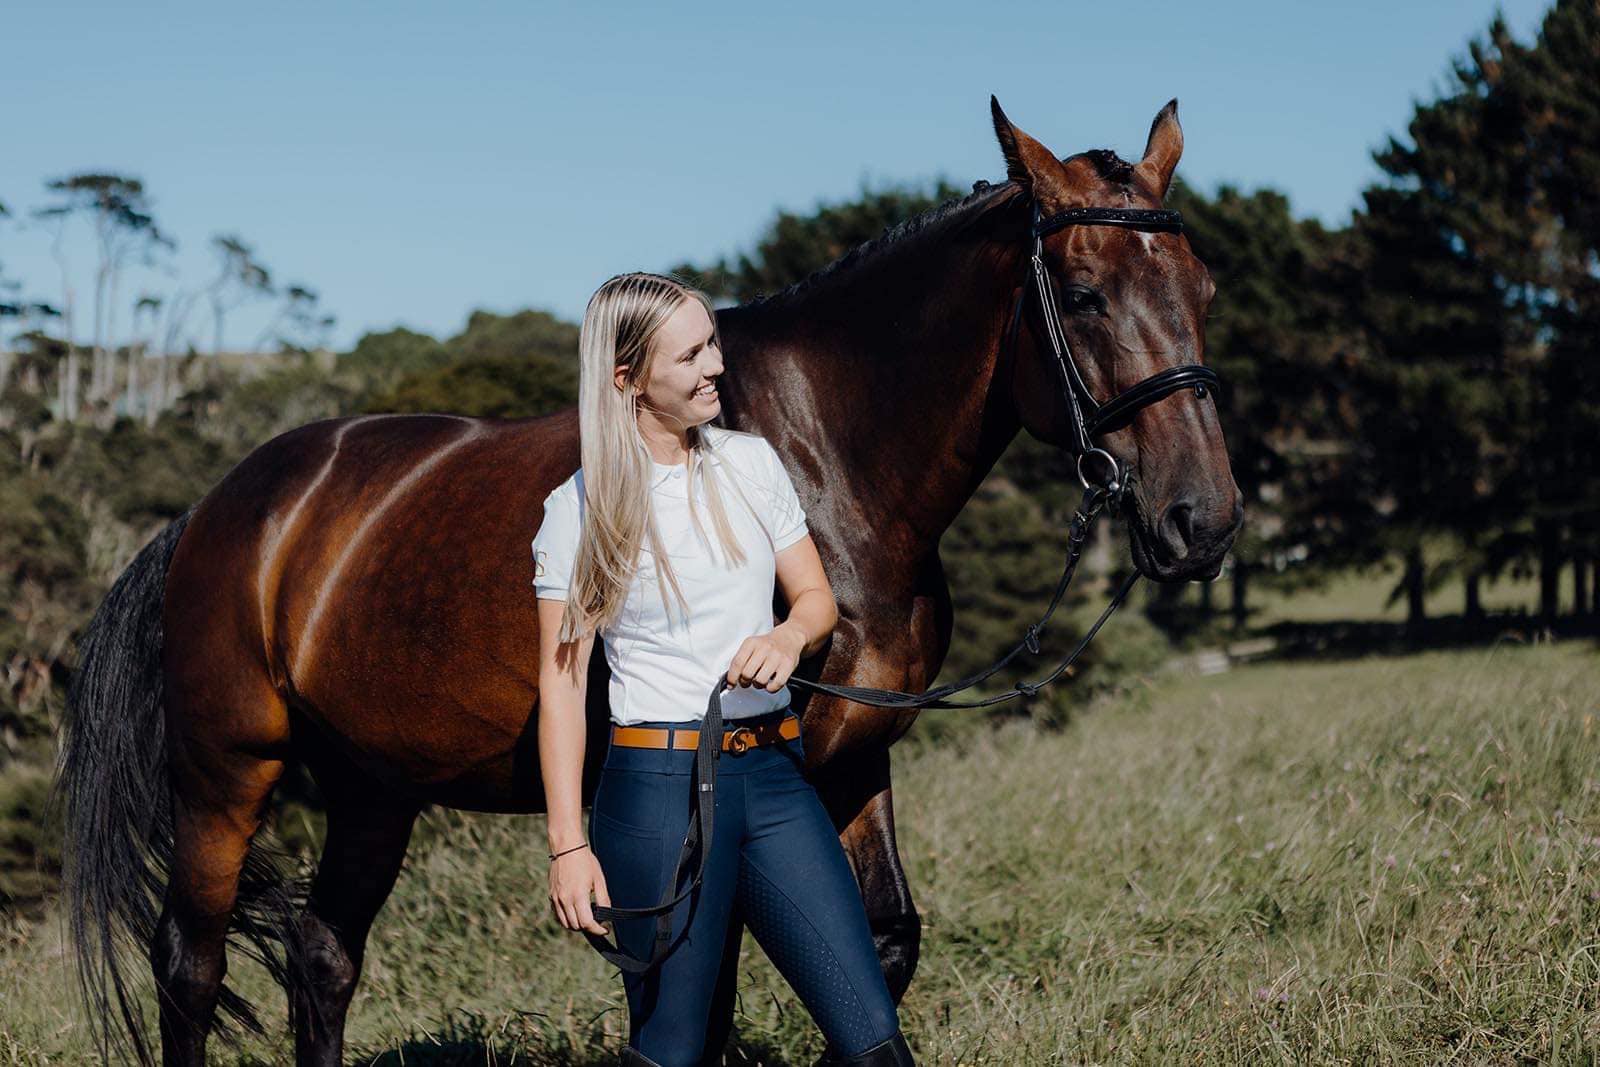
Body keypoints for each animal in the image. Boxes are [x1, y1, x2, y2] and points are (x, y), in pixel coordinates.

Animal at [59, 95, 1235, 1062]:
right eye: (1081, 293)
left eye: (1203, 288)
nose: (1203, 518)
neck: (823, 458)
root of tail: (216, 512)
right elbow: (704, 998)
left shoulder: (852, 755)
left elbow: (877, 948)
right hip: (226, 777)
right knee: (191, 967)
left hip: (371, 786)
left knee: (321, 954)